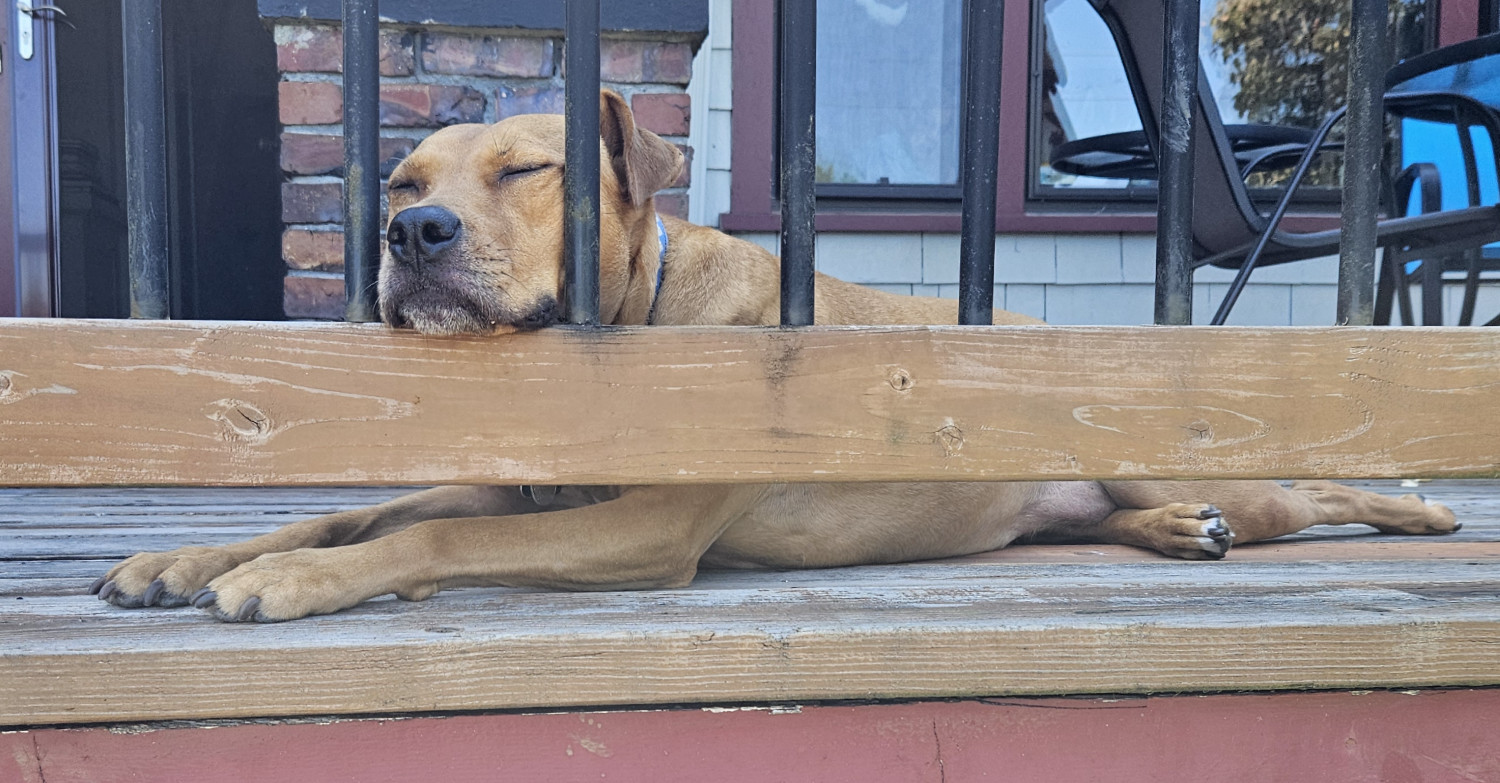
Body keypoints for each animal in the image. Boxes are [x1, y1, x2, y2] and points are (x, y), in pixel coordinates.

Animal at [90, 91, 1452, 618]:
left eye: (527, 171)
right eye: (405, 181)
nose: (408, 234)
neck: (624, 327)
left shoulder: (640, 530)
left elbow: (429, 543)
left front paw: (291, 582)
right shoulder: (521, 489)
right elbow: (350, 511)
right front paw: (186, 555)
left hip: (1191, 464)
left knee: (1308, 488)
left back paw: (1421, 511)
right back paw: (1176, 533)